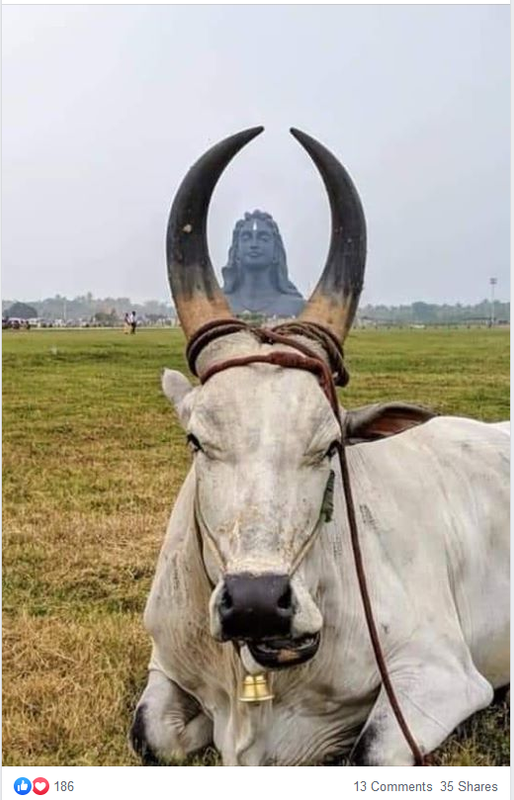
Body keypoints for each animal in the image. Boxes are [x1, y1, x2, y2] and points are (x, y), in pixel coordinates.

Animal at [130, 127, 509, 766]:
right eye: (196, 440)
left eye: (330, 446)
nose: (257, 602)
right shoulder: (164, 663)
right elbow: (154, 734)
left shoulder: (444, 674)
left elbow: (369, 751)